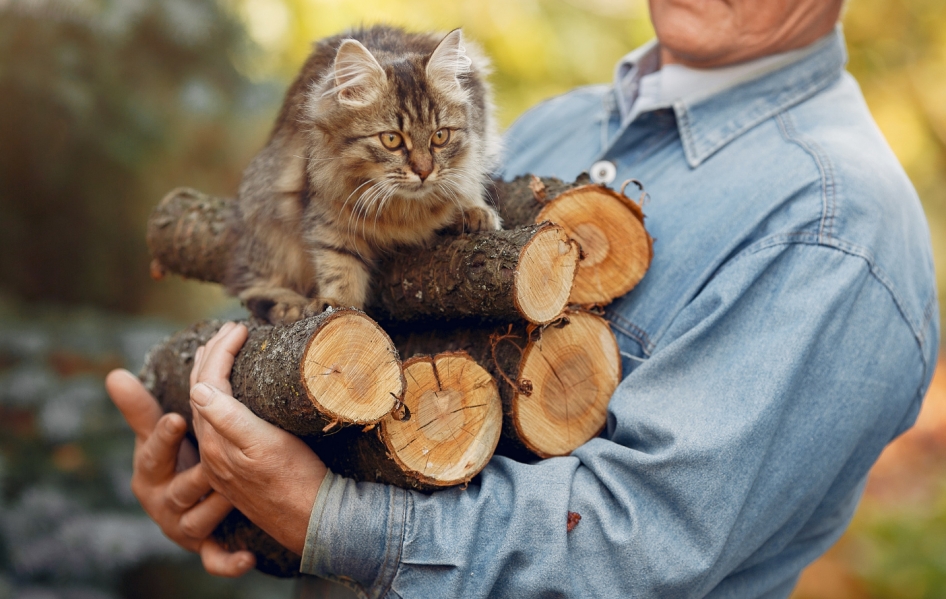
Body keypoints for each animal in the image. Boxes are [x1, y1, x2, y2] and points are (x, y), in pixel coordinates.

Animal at [224, 24, 502, 324]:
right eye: (391, 140)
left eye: (440, 136)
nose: (424, 171)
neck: (403, 210)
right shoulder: (328, 216)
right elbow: (340, 267)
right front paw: (336, 306)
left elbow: (466, 183)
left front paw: (473, 211)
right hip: (265, 208)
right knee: (253, 286)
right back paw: (287, 306)